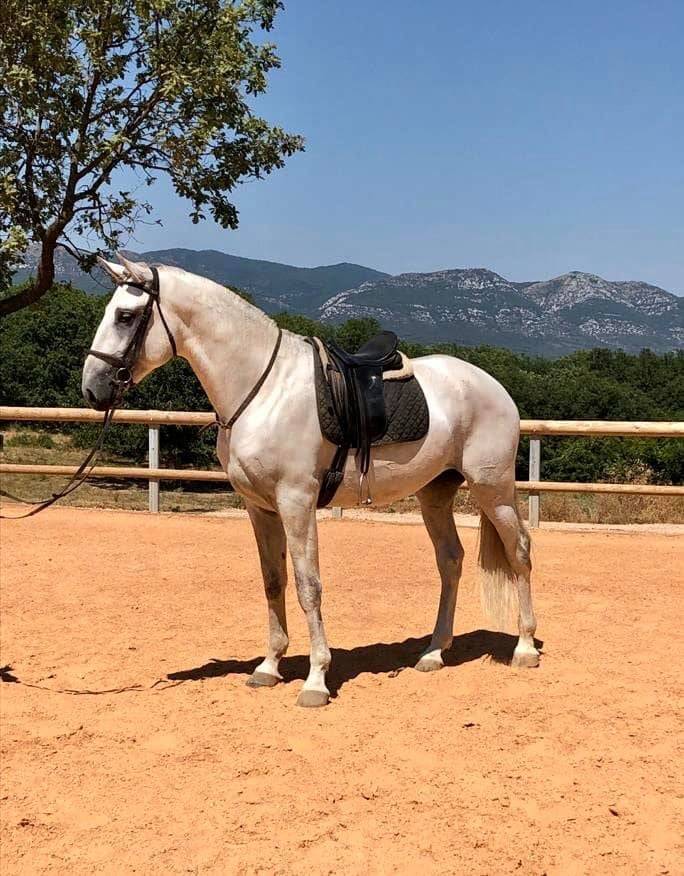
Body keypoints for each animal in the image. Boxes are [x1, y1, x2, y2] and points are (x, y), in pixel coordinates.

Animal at [82, 254, 539, 708]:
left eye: (125, 316)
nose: (92, 388)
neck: (262, 390)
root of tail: (492, 385)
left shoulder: (296, 502)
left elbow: (308, 585)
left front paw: (316, 680)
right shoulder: (260, 507)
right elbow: (273, 581)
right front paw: (269, 667)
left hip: (493, 489)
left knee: (519, 552)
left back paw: (524, 648)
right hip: (436, 494)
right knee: (450, 561)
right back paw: (433, 653)